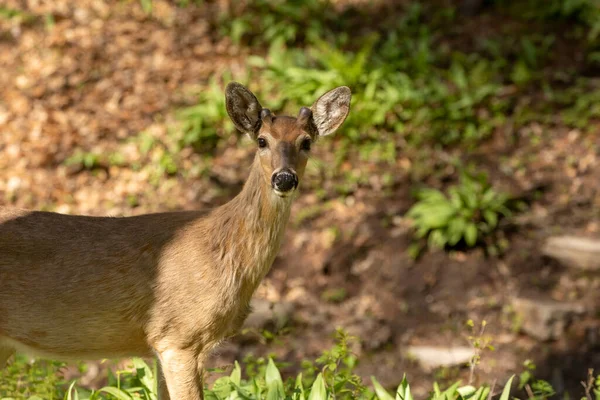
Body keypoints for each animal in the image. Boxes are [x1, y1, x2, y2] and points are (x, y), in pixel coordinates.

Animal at [0, 82, 352, 400]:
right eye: (262, 140)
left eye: (307, 142)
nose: (284, 178)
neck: (226, 254)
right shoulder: (178, 337)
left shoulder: (160, 344)